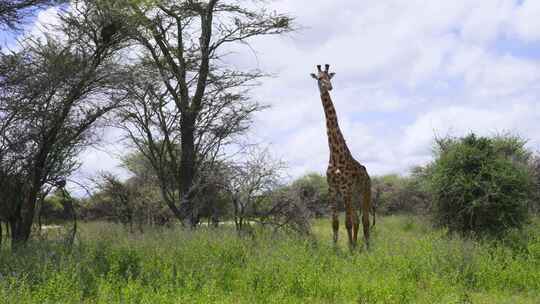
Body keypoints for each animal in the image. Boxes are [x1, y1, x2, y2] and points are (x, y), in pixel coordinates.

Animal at [310, 64, 374, 249]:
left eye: (329, 77)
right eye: (319, 78)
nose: (329, 87)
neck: (335, 155)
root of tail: (368, 175)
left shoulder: (345, 189)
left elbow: (347, 223)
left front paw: (350, 249)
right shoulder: (333, 190)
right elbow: (335, 223)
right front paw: (336, 248)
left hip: (365, 193)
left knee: (365, 220)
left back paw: (367, 247)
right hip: (354, 197)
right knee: (358, 220)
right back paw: (357, 245)